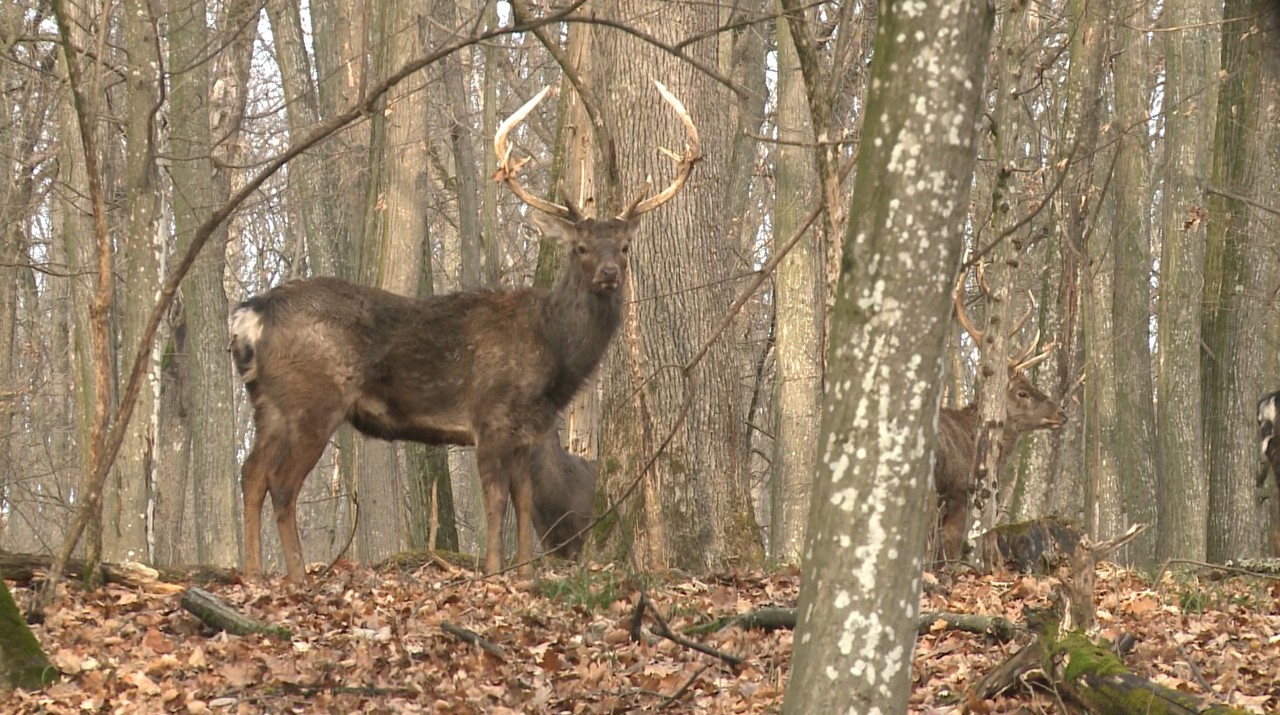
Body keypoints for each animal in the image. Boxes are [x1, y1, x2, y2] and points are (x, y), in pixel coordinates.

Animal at [225, 81, 696, 583]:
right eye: (582, 247)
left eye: (624, 246)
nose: (609, 273)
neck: (553, 349)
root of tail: (251, 314)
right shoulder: (490, 416)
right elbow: (496, 502)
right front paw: (492, 571)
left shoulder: (527, 431)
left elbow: (523, 502)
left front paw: (524, 574)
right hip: (312, 399)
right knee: (280, 482)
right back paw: (296, 576)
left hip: (268, 404)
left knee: (250, 474)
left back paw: (252, 572)